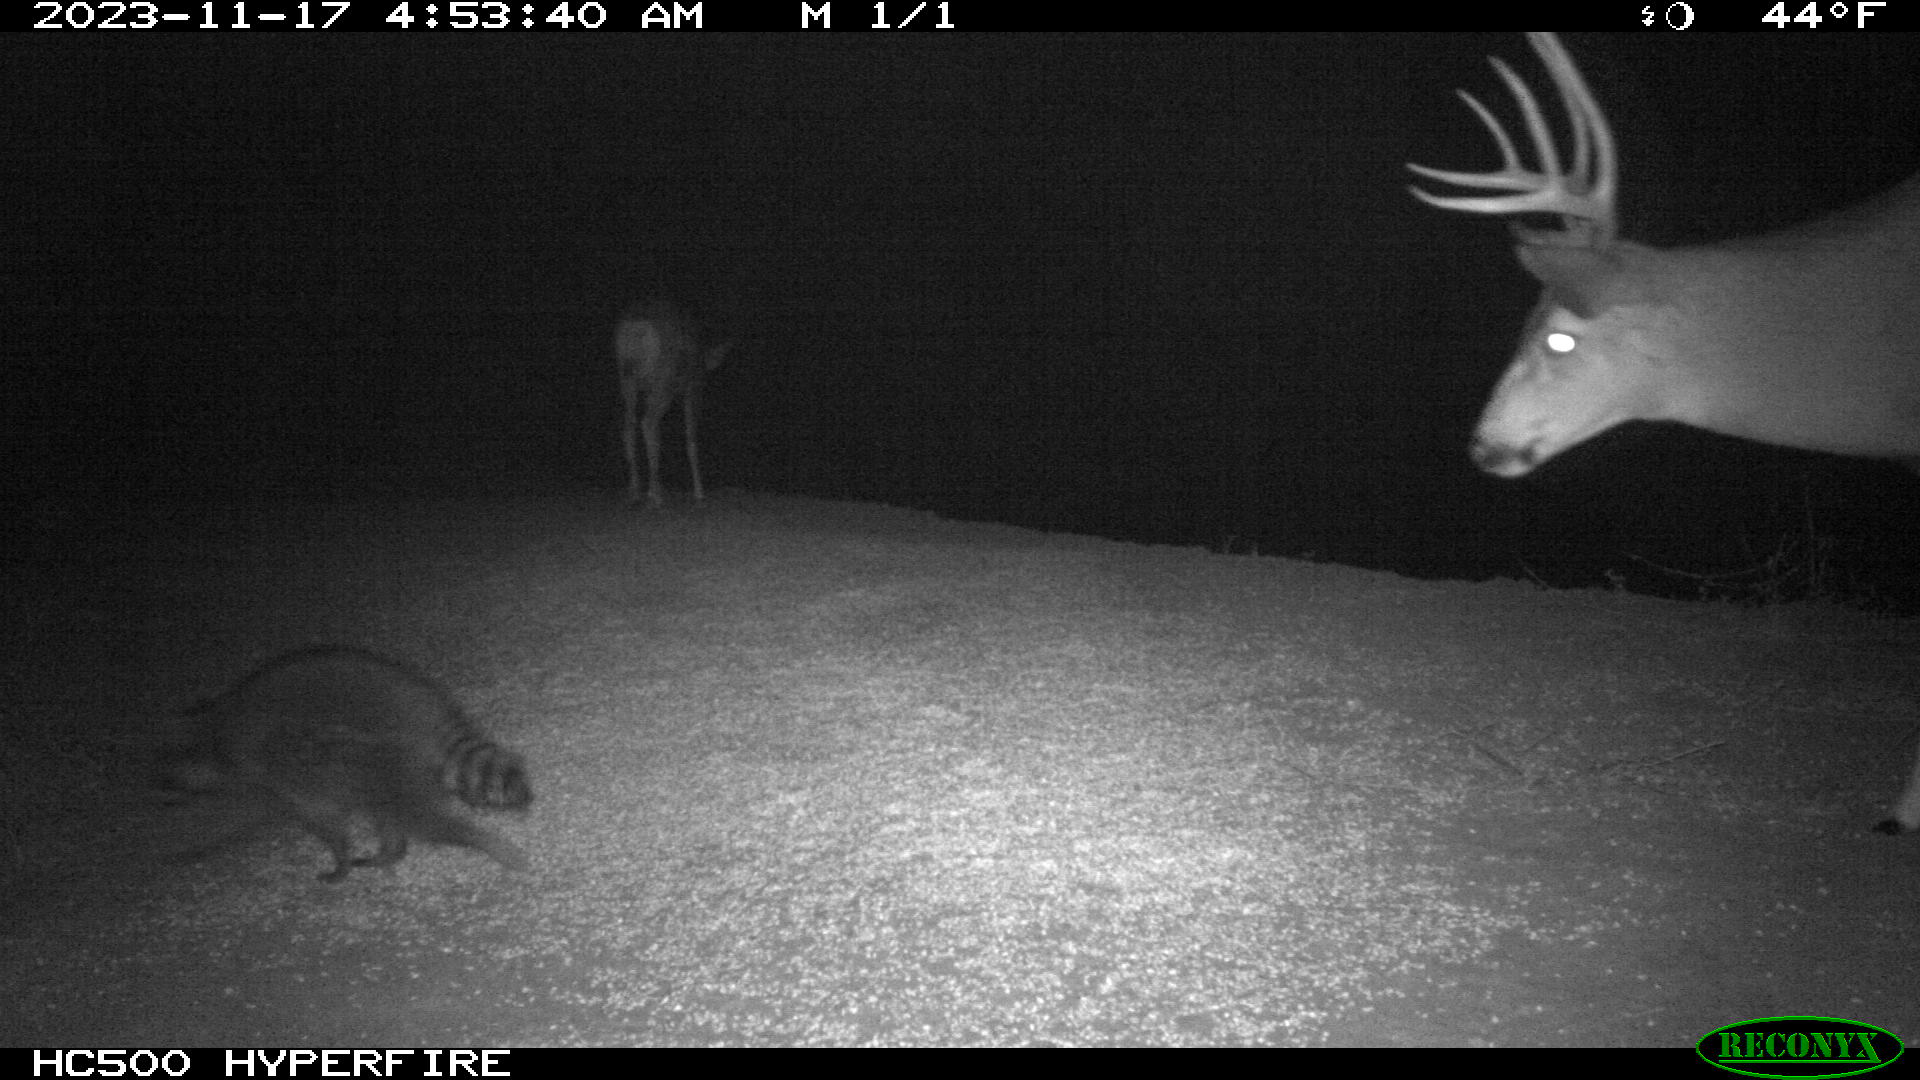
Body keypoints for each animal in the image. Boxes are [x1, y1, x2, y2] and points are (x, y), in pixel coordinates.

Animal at [158, 646, 531, 881]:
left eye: (165, 774)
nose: (158, 792)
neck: (214, 730)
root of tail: (423, 707)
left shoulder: (278, 778)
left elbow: (325, 822)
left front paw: (339, 861)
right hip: (377, 764)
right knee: (389, 811)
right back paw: (391, 851)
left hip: (377, 754)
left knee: (417, 816)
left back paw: (474, 839)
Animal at [615, 299, 735, 508]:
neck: (704, 358)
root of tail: (636, 328)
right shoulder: (693, 386)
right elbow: (691, 438)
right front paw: (699, 492)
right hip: (663, 381)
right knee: (648, 422)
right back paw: (655, 495)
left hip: (628, 379)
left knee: (629, 424)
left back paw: (635, 491)